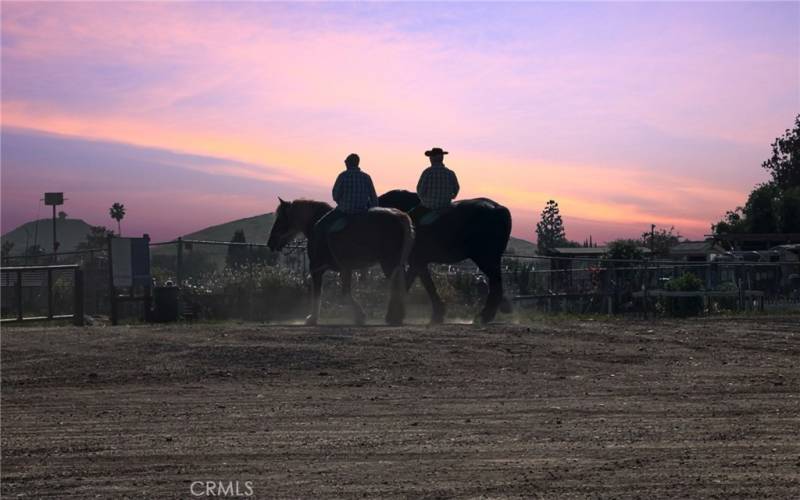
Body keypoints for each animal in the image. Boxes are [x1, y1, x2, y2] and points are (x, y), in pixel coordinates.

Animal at [268, 199, 416, 328]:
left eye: (280, 219)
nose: (270, 242)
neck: (315, 224)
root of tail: (400, 216)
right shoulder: (345, 269)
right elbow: (345, 292)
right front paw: (359, 316)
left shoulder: (316, 269)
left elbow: (319, 294)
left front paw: (312, 319)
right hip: (397, 264)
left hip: (389, 263)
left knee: (396, 286)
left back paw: (393, 317)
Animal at [376, 188, 512, 324]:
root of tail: (499, 209)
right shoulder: (418, 262)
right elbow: (422, 283)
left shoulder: (417, 261)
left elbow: (421, 284)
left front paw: (394, 315)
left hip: (485, 258)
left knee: (496, 283)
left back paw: (484, 316)